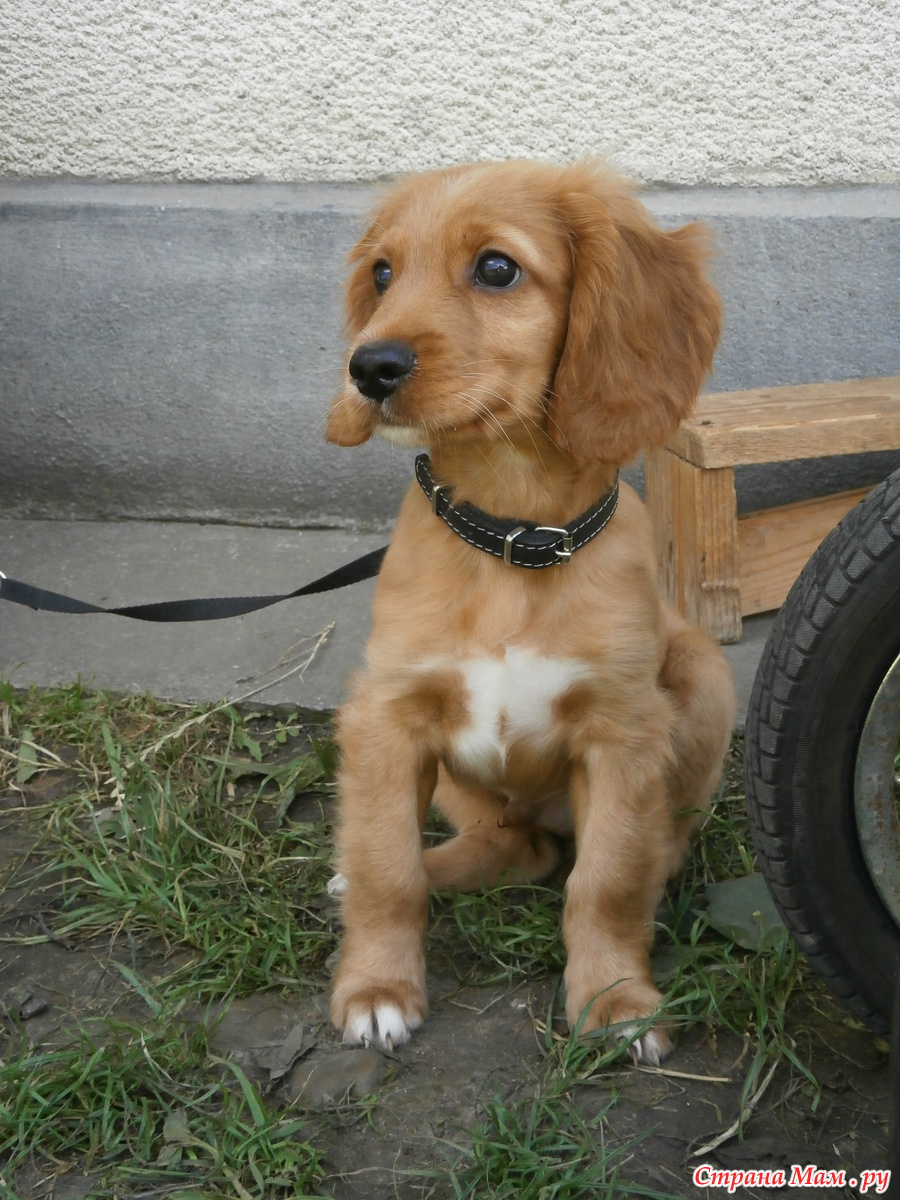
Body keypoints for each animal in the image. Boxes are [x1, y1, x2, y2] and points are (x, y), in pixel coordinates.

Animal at [328, 162, 734, 1070]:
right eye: (382, 274)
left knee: (605, 850)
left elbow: (607, 879)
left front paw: (616, 999)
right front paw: (376, 988)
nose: (368, 367)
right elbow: (386, 867)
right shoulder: (385, 717)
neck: (513, 538)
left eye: (496, 268)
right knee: (508, 844)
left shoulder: (624, 732)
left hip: (702, 672)